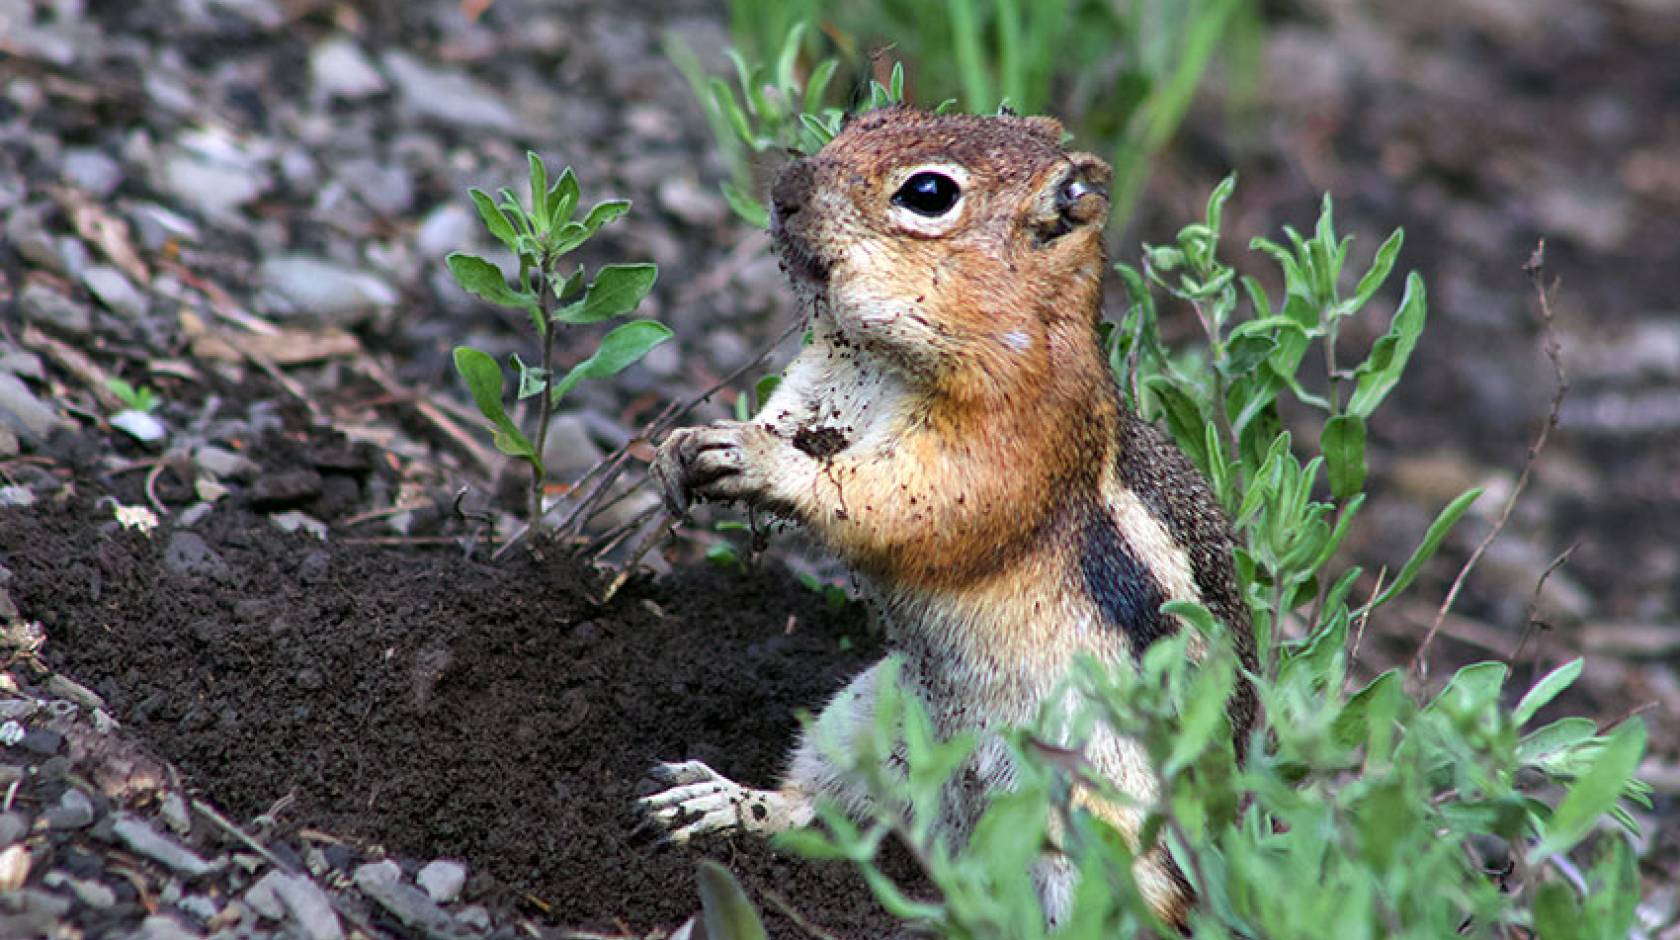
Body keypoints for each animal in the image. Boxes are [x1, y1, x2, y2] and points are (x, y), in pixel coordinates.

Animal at [642, 105, 1257, 930]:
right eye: (865, 118)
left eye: (928, 194)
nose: (785, 189)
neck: (883, 359)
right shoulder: (818, 382)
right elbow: (782, 416)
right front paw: (688, 443)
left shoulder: (999, 447)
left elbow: (895, 504)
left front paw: (763, 463)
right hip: (864, 717)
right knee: (824, 813)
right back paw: (720, 803)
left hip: (1094, 843)